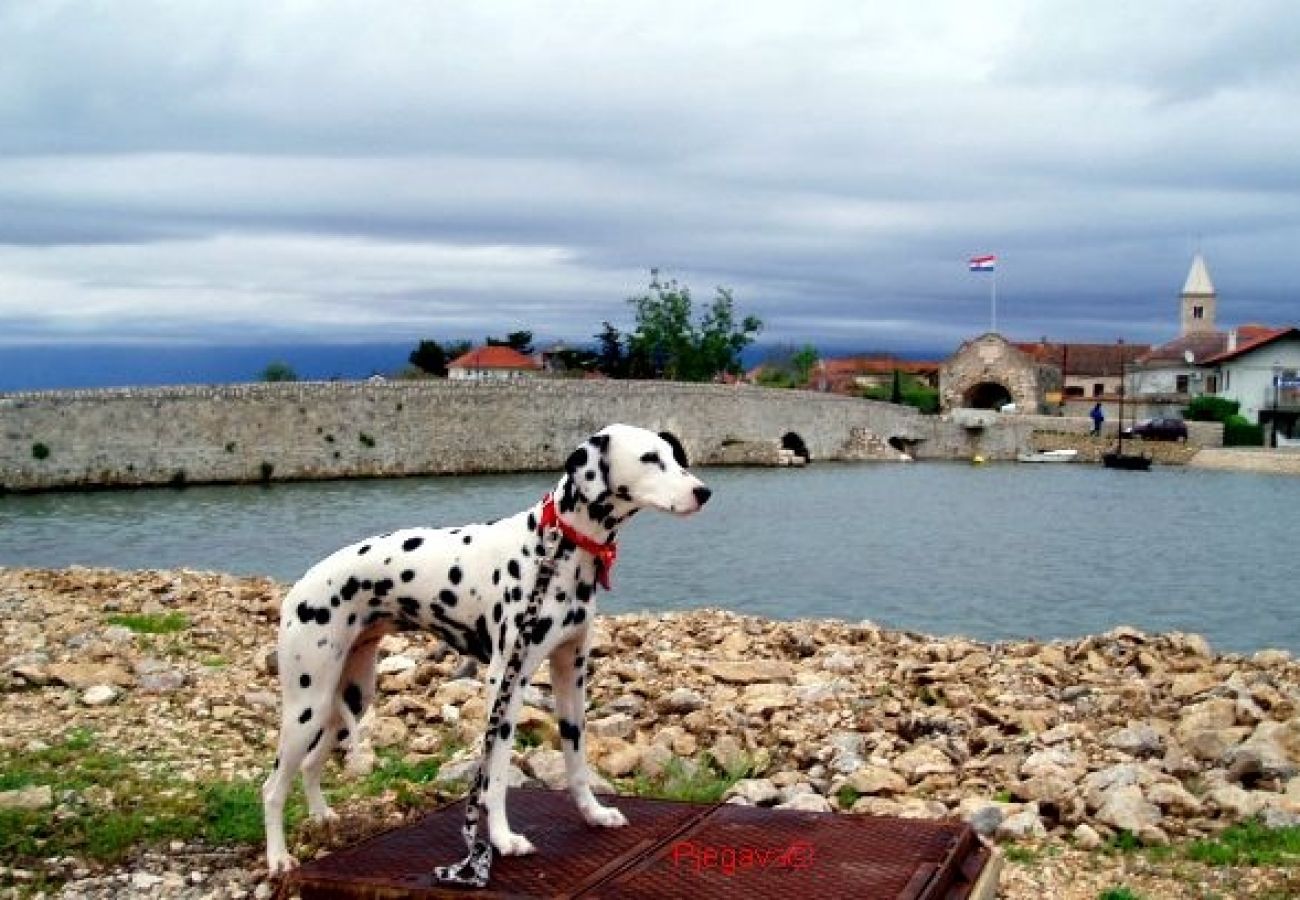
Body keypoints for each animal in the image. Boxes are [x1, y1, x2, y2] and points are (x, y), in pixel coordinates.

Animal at [262, 423, 712, 879]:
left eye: (675, 456)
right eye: (649, 458)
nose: (703, 492)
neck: (552, 549)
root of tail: (302, 585)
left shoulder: (571, 675)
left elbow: (576, 760)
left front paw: (593, 813)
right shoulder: (505, 684)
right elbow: (494, 777)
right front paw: (501, 839)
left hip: (349, 697)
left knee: (310, 765)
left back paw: (322, 817)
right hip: (307, 706)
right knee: (272, 787)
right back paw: (278, 857)